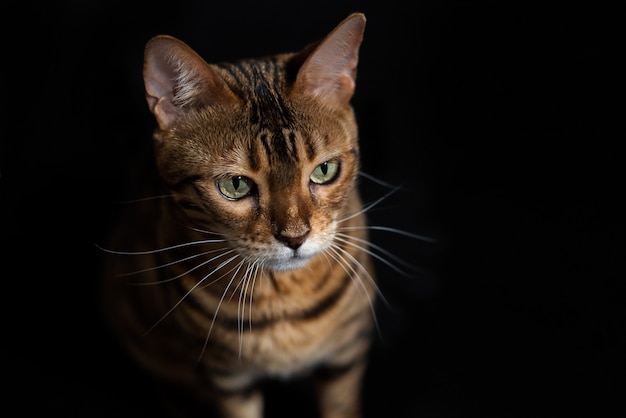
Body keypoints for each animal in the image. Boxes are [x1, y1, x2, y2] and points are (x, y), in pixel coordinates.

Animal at [100, 11, 380, 416]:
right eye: (236, 185)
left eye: (325, 171)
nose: (295, 237)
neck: (285, 299)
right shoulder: (227, 379)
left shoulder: (346, 355)